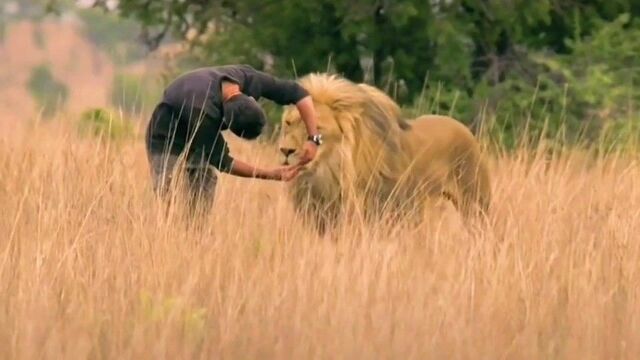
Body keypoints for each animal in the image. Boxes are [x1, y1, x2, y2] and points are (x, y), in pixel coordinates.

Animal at [278, 73, 492, 233]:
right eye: (288, 123)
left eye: (315, 128)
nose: (285, 150)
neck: (330, 170)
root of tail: (466, 130)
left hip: (475, 204)